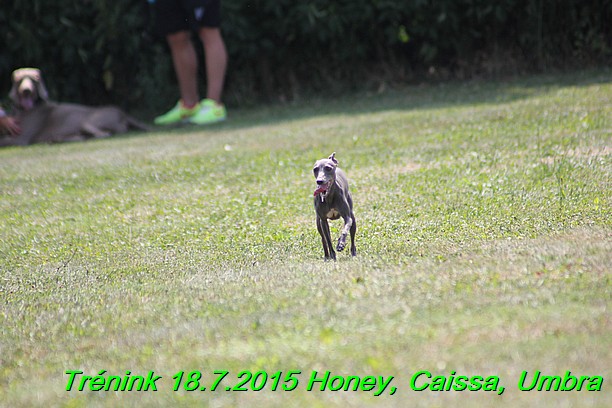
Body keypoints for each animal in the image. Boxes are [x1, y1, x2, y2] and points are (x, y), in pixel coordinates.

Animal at [0, 68, 148, 147]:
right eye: (19, 80)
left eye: (34, 80)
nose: (26, 90)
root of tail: (122, 113)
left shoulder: (21, 139)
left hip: (87, 121)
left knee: (103, 134)